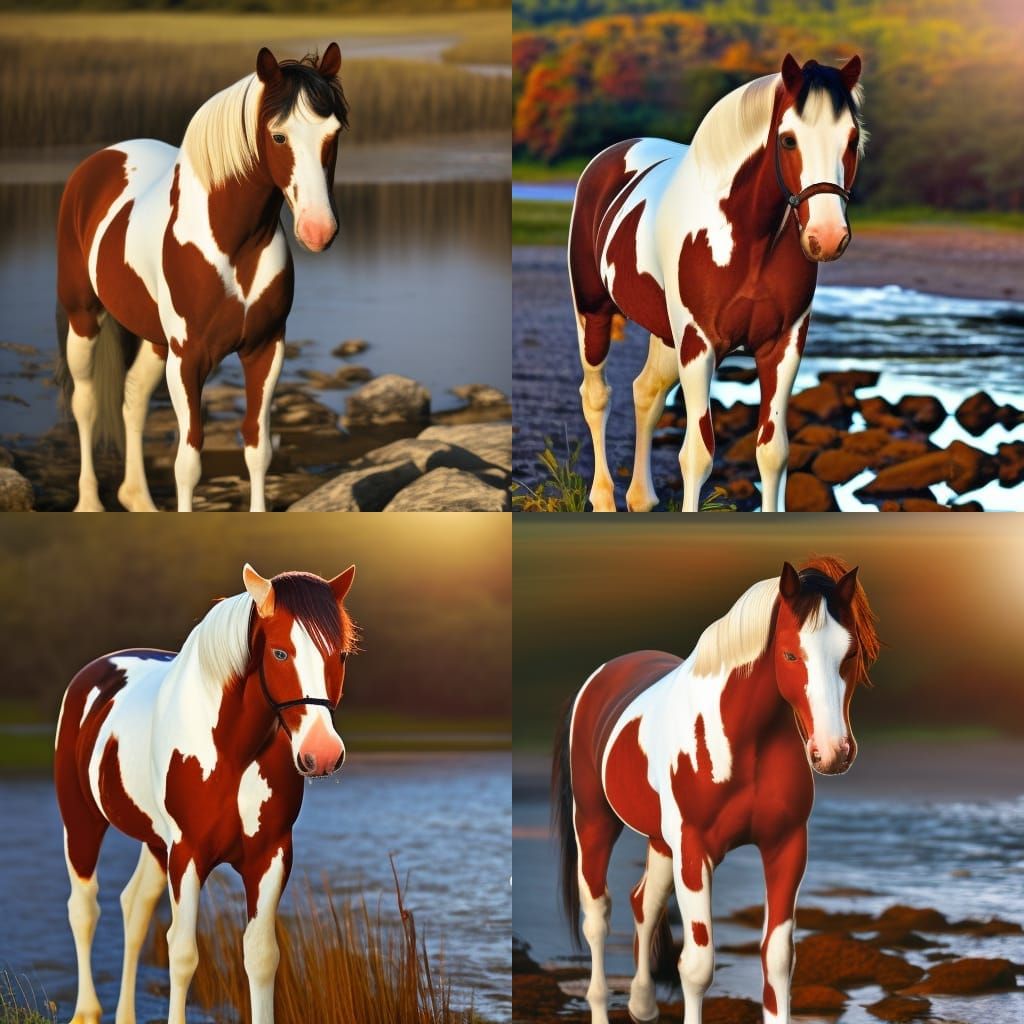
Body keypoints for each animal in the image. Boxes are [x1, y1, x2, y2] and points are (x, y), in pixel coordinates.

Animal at [54, 563, 357, 1024]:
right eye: (280, 653)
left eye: (339, 654)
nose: (321, 753)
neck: (232, 751)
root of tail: (93, 671)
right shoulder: (189, 854)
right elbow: (182, 953)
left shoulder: (270, 856)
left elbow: (261, 956)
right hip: (81, 821)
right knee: (84, 909)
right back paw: (87, 1011)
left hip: (155, 843)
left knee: (133, 908)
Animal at [56, 45, 347, 512]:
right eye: (279, 136)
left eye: (333, 133)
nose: (318, 230)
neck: (233, 245)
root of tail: (103, 158)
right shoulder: (188, 357)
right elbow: (188, 461)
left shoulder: (265, 348)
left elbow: (258, 448)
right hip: (84, 317)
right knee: (86, 402)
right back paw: (89, 503)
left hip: (156, 340)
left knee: (133, 399)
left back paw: (138, 498)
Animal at [552, 556, 880, 1024]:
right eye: (790, 654)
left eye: (850, 654)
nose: (833, 752)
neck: (744, 742)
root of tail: (599, 679)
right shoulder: (694, 850)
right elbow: (697, 966)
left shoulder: (785, 845)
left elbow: (778, 959)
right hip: (595, 823)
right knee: (598, 917)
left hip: (660, 841)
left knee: (643, 903)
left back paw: (642, 1004)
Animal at [568, 54, 865, 512]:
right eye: (788, 140)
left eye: (851, 139)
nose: (828, 236)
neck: (747, 240)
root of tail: (610, 157)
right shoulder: (699, 344)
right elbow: (697, 453)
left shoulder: (783, 346)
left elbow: (772, 453)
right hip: (593, 313)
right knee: (597, 397)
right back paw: (603, 499)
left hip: (665, 334)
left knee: (646, 393)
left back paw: (642, 498)